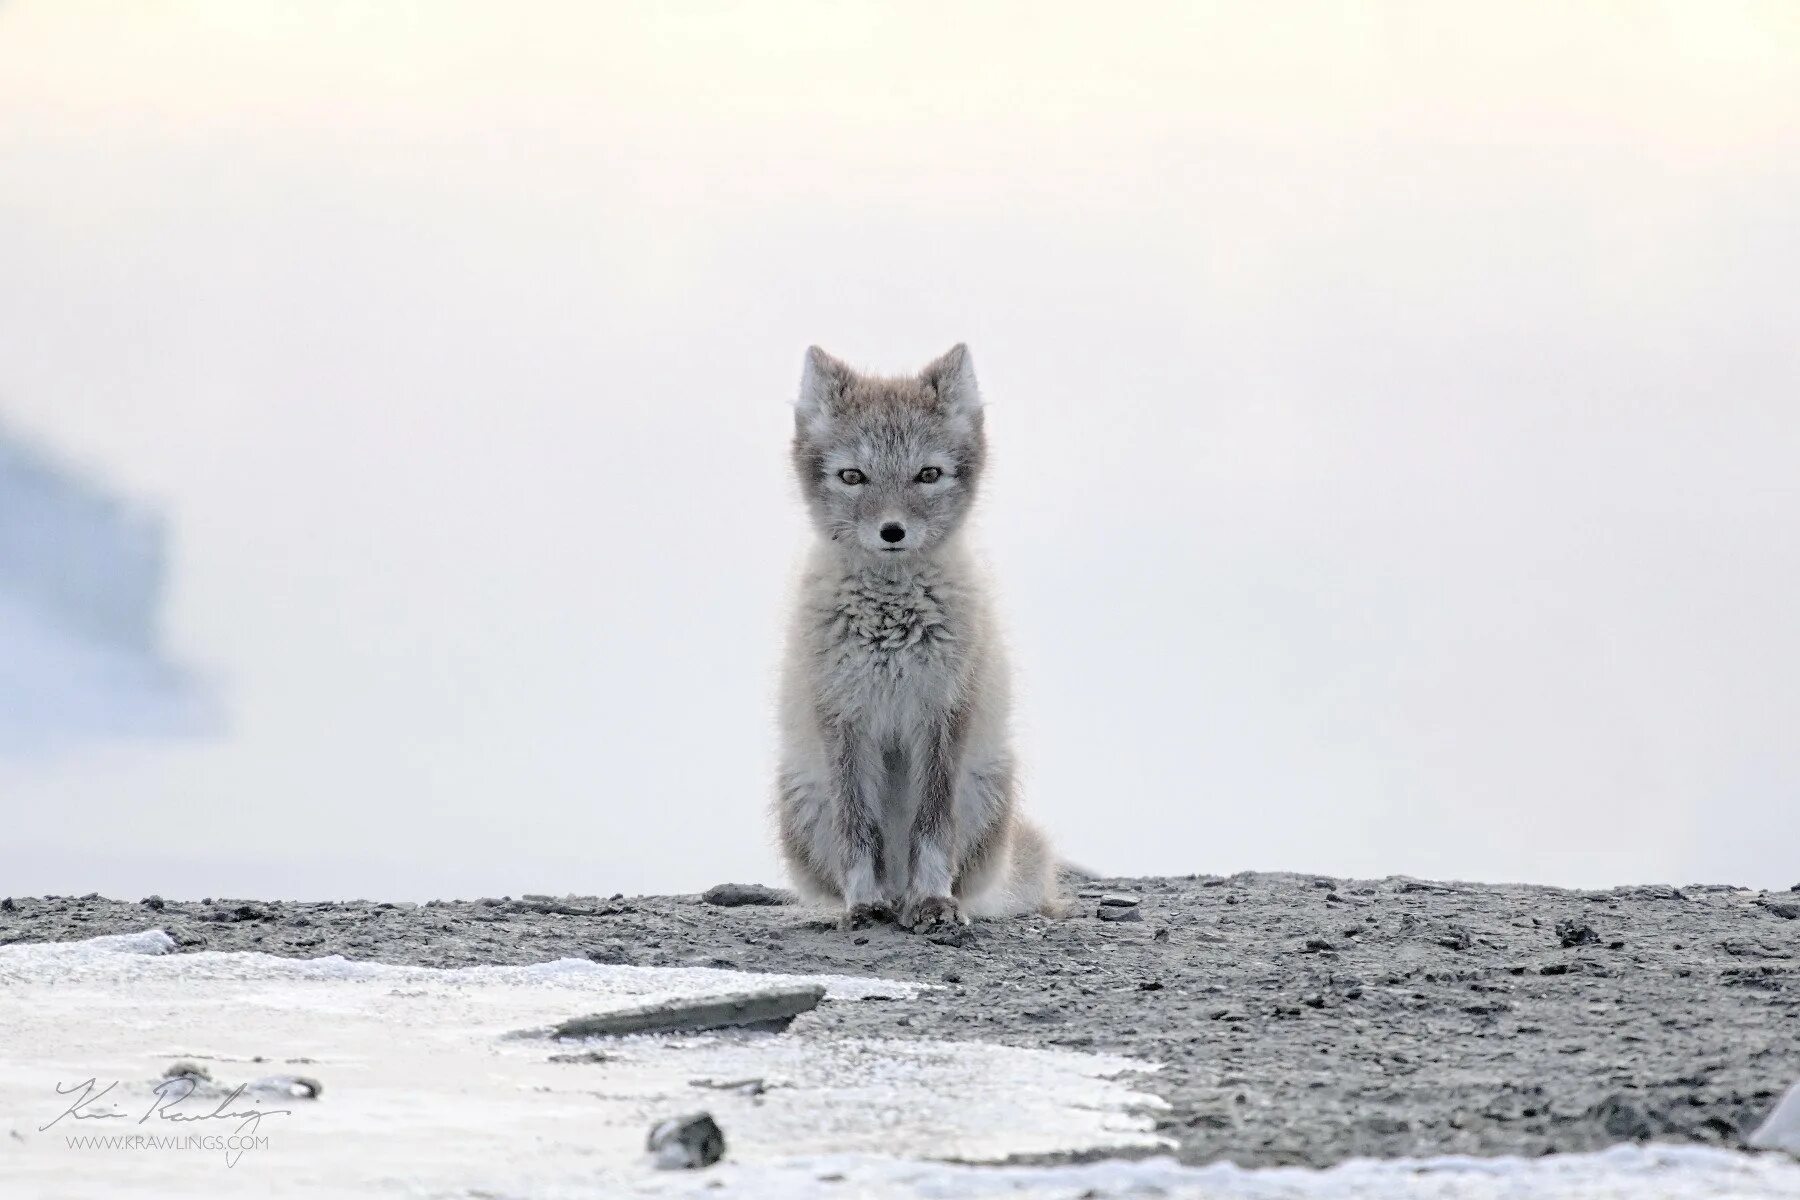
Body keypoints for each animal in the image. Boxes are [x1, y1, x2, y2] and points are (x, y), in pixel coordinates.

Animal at [770, 341, 1051, 935]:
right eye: (853, 476)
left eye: (928, 474)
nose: (892, 531)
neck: (890, 625)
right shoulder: (843, 715)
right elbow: (859, 832)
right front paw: (862, 906)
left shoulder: (942, 712)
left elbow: (932, 826)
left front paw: (934, 901)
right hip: (804, 797)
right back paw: (882, 902)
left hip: (987, 786)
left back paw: (917, 902)